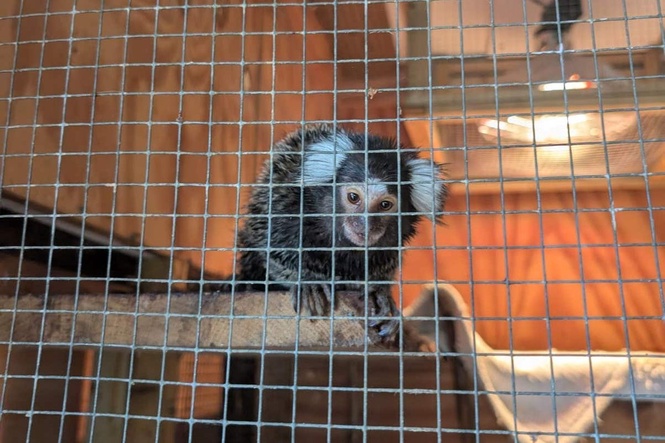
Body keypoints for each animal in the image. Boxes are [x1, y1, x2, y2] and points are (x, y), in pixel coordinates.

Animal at [234, 123, 447, 344]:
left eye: (385, 205)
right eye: (353, 197)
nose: (365, 225)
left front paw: (380, 292)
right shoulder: (284, 204)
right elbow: (274, 251)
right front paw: (308, 282)